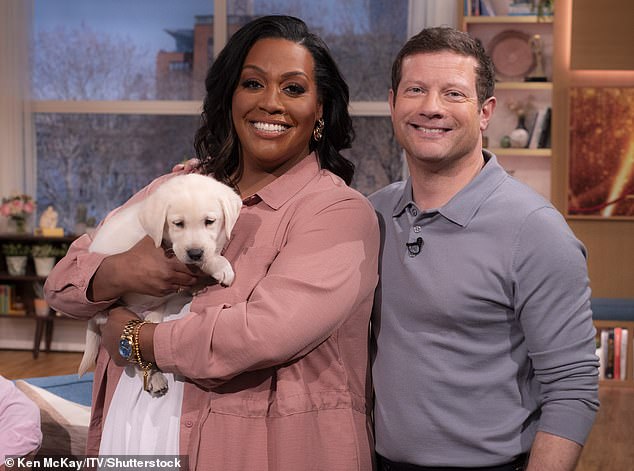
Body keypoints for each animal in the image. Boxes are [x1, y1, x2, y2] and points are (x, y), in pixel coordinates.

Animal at [76, 172, 239, 394]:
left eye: (209, 221)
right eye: (178, 223)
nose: (195, 253)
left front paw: (199, 279)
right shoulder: (173, 253)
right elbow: (205, 260)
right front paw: (220, 266)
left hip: (153, 314)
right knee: (133, 357)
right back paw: (156, 379)